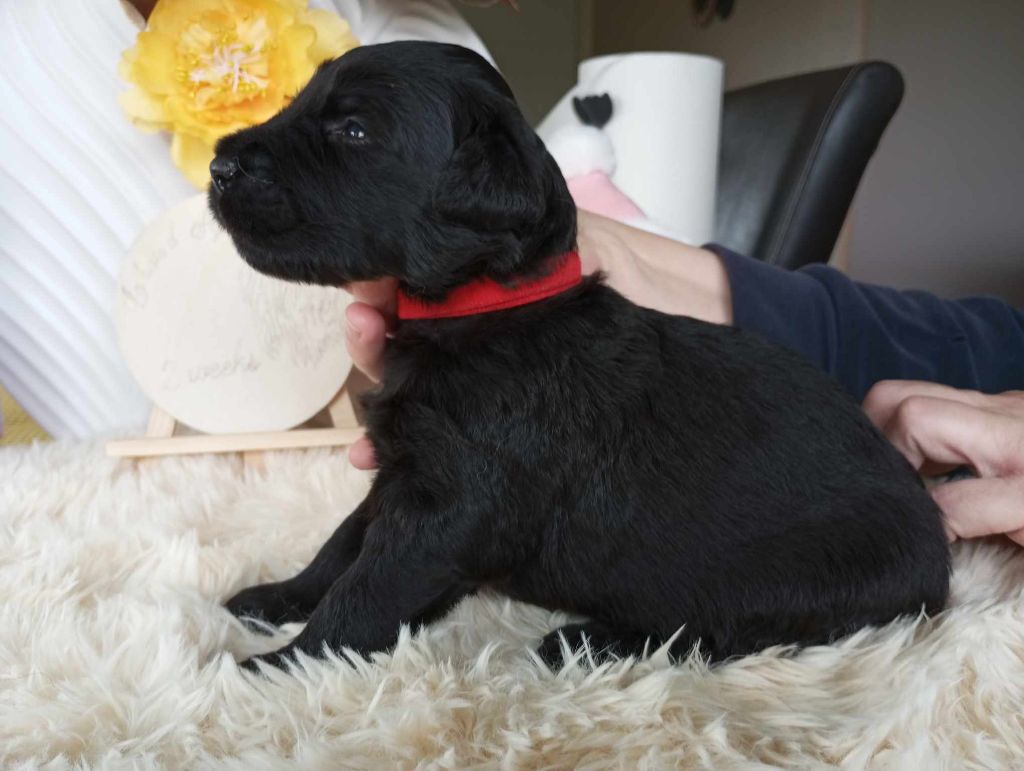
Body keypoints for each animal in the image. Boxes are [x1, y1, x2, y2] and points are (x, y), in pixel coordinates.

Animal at [209, 41, 949, 670]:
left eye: (353, 132)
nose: (218, 164)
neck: (480, 311)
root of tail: (940, 560)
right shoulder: (400, 470)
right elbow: (342, 543)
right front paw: (276, 597)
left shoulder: (452, 501)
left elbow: (369, 585)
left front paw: (280, 665)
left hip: (788, 572)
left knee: (720, 629)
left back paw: (587, 642)